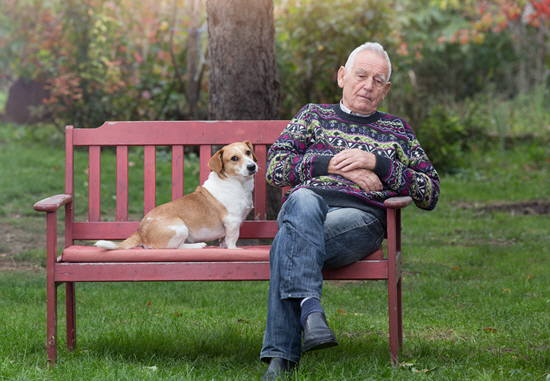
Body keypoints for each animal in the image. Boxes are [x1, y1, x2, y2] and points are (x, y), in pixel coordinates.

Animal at [95, 140, 258, 249]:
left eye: (248, 152)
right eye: (234, 158)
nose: (252, 166)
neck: (237, 184)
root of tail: (140, 231)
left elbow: (224, 241)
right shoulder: (232, 222)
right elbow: (232, 240)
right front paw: (234, 250)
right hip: (181, 229)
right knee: (178, 247)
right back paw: (198, 246)